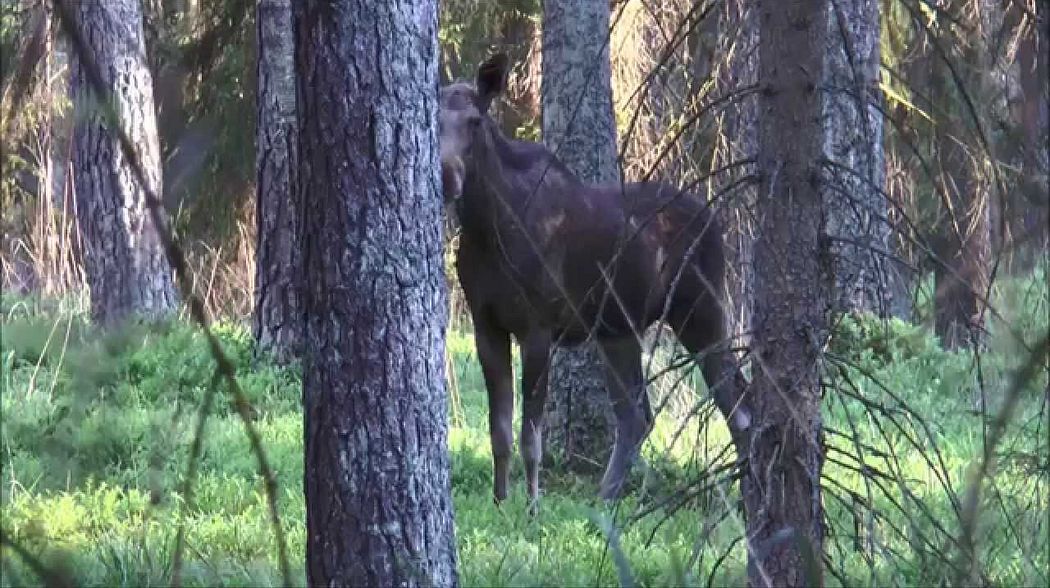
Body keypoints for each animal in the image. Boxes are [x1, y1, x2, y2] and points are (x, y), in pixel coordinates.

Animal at [438, 54, 751, 506]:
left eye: (475, 120)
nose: (447, 177)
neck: (488, 228)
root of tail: (715, 223)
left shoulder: (538, 327)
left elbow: (530, 434)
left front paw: (532, 506)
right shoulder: (487, 324)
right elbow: (499, 432)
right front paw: (499, 501)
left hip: (701, 312)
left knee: (739, 405)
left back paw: (745, 500)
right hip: (617, 330)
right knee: (638, 414)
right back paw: (605, 499)